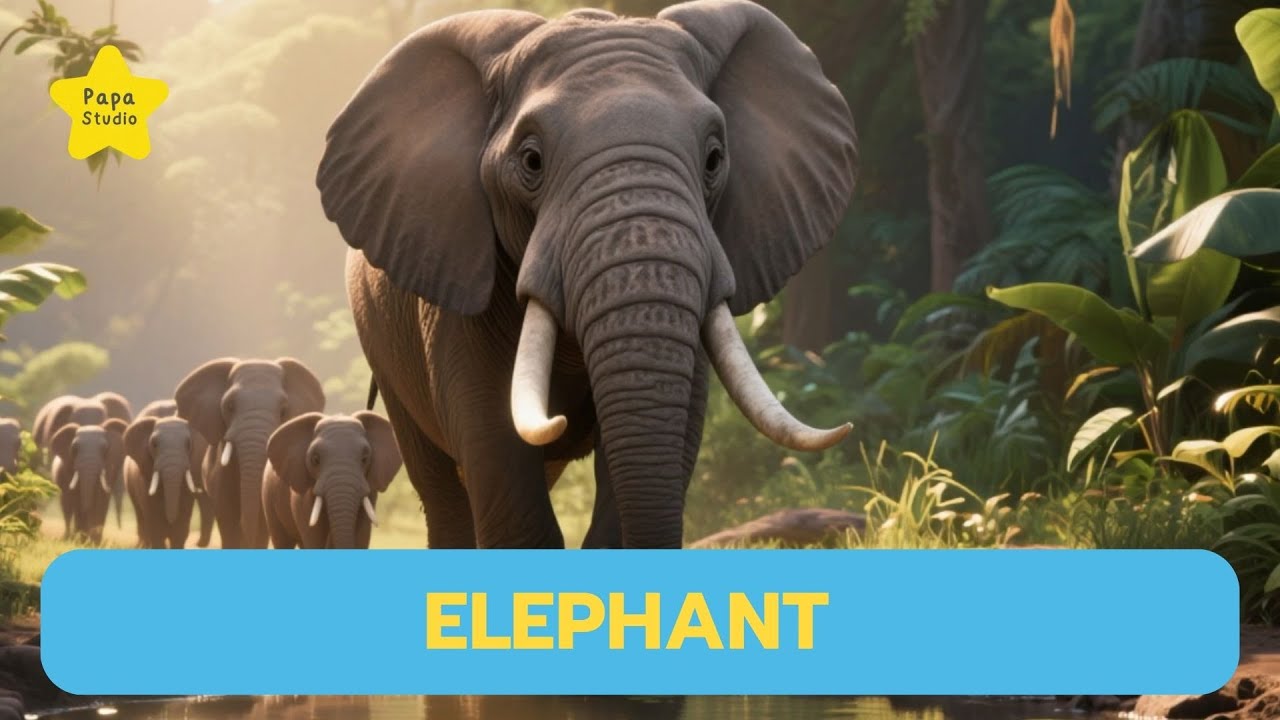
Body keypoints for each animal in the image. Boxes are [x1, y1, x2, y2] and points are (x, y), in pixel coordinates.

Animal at [123, 401, 213, 549]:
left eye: (188, 444)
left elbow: (181, 531)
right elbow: (155, 529)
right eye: (154, 444)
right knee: (140, 517)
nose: (170, 522)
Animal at [262, 412, 402, 549]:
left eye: (365, 458)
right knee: (283, 540)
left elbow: (362, 535)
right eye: (315, 459)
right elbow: (314, 539)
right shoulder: (302, 498)